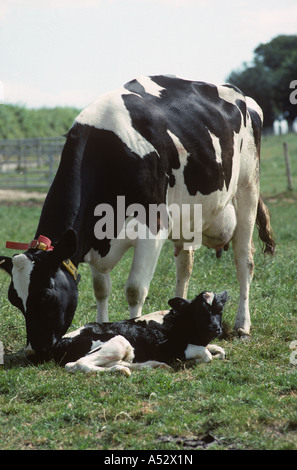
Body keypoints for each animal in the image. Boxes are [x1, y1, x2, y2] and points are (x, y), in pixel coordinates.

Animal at [0, 74, 274, 360]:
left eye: (45, 294)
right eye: (14, 299)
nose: (33, 351)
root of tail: (241, 95)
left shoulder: (153, 228)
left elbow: (134, 290)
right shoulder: (94, 239)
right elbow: (101, 289)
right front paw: (102, 325)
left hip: (247, 186)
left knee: (244, 259)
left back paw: (242, 326)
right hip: (188, 217)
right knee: (184, 265)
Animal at [52, 290, 227, 374]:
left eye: (220, 310)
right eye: (199, 311)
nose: (215, 328)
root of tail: (60, 342)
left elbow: (220, 351)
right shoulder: (165, 347)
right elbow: (207, 354)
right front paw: (188, 362)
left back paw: (154, 365)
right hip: (120, 341)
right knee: (77, 364)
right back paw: (121, 371)